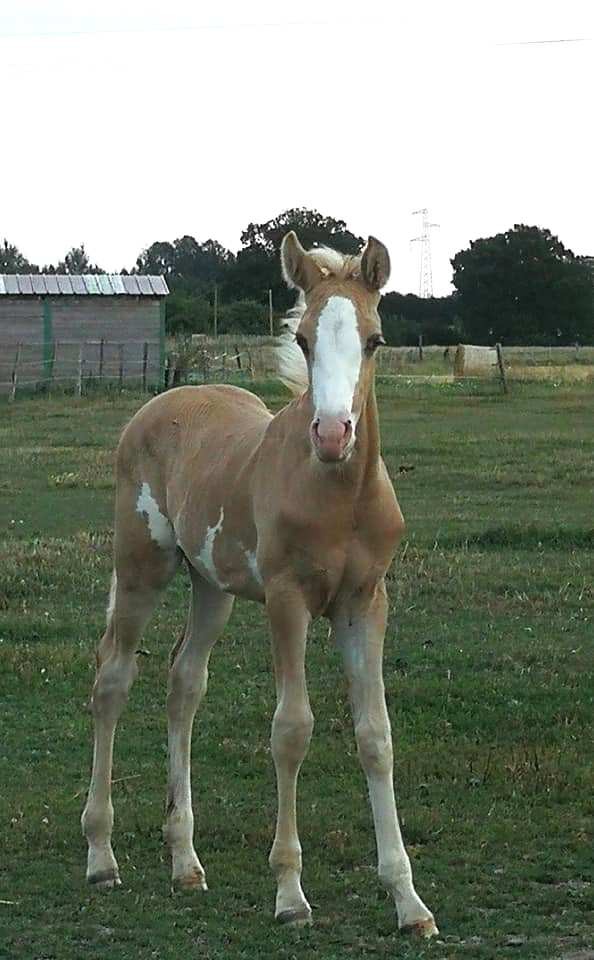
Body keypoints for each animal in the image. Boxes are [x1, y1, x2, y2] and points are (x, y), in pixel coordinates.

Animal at [81, 231, 438, 936]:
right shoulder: (286, 599)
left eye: (376, 339)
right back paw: (102, 857)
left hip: (211, 585)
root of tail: (160, 403)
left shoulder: (366, 602)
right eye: (301, 339)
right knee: (114, 677)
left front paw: (409, 901)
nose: (333, 433)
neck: (337, 496)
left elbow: (376, 735)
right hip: (142, 566)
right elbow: (292, 730)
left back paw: (185, 862)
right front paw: (291, 894)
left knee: (184, 682)